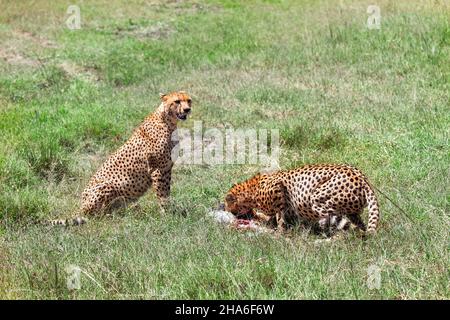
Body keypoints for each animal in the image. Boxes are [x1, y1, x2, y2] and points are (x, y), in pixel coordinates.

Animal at [51, 90, 192, 225]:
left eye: (189, 100)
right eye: (177, 101)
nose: (187, 109)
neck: (168, 121)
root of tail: (81, 206)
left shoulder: (166, 168)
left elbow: (167, 191)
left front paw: (171, 211)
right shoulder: (158, 170)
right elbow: (162, 194)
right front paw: (166, 214)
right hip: (107, 186)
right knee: (96, 216)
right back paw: (113, 216)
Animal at [225, 162, 380, 235]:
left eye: (228, 205)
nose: (229, 211)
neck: (251, 190)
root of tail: (363, 178)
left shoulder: (278, 188)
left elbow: (279, 217)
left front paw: (278, 233)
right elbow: (270, 218)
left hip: (318, 200)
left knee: (346, 229)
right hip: (352, 211)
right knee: (359, 228)